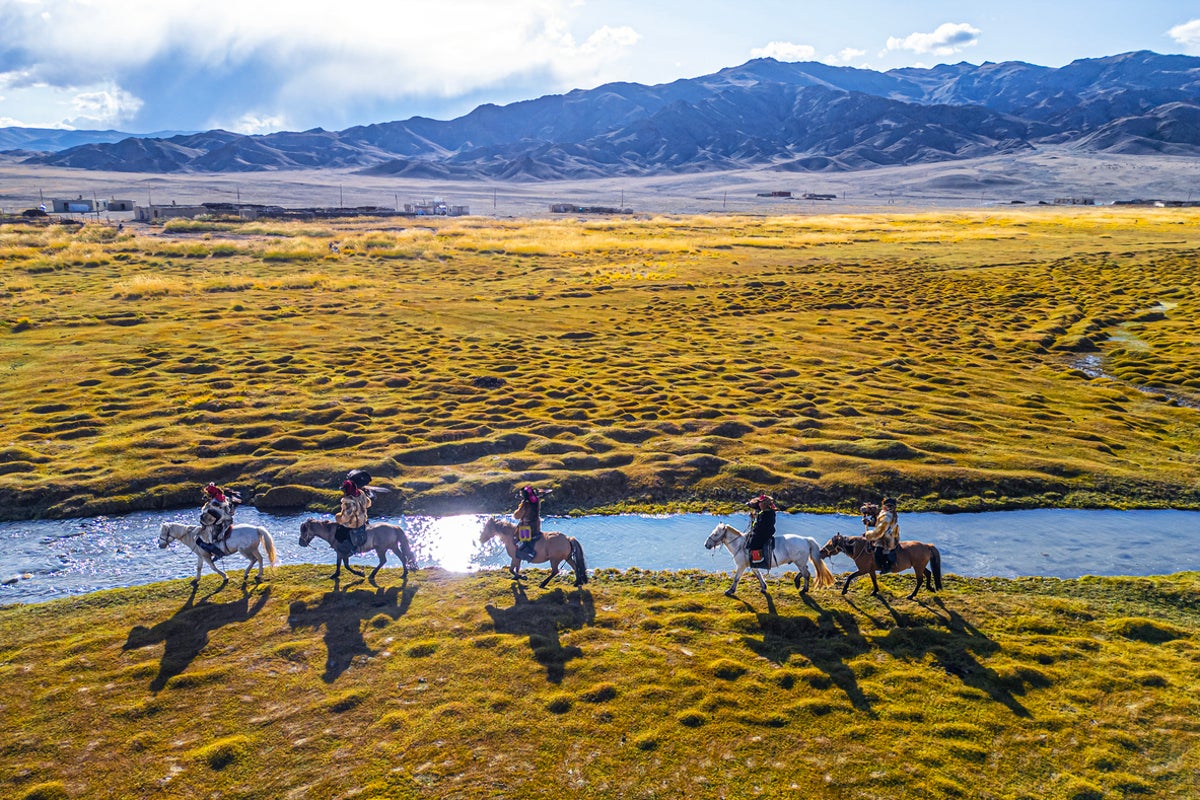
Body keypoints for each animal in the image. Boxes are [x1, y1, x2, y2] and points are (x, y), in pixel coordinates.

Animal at [704, 522, 836, 597]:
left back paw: (804, 589)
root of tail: (806, 539)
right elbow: (759, 576)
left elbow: (736, 578)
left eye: (715, 534)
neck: (740, 545)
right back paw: (797, 581)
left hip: (799, 562)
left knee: (806, 574)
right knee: (805, 571)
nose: (706, 545)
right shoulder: (752, 565)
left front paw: (730, 591)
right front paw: (764, 587)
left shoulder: (741, 566)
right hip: (800, 562)